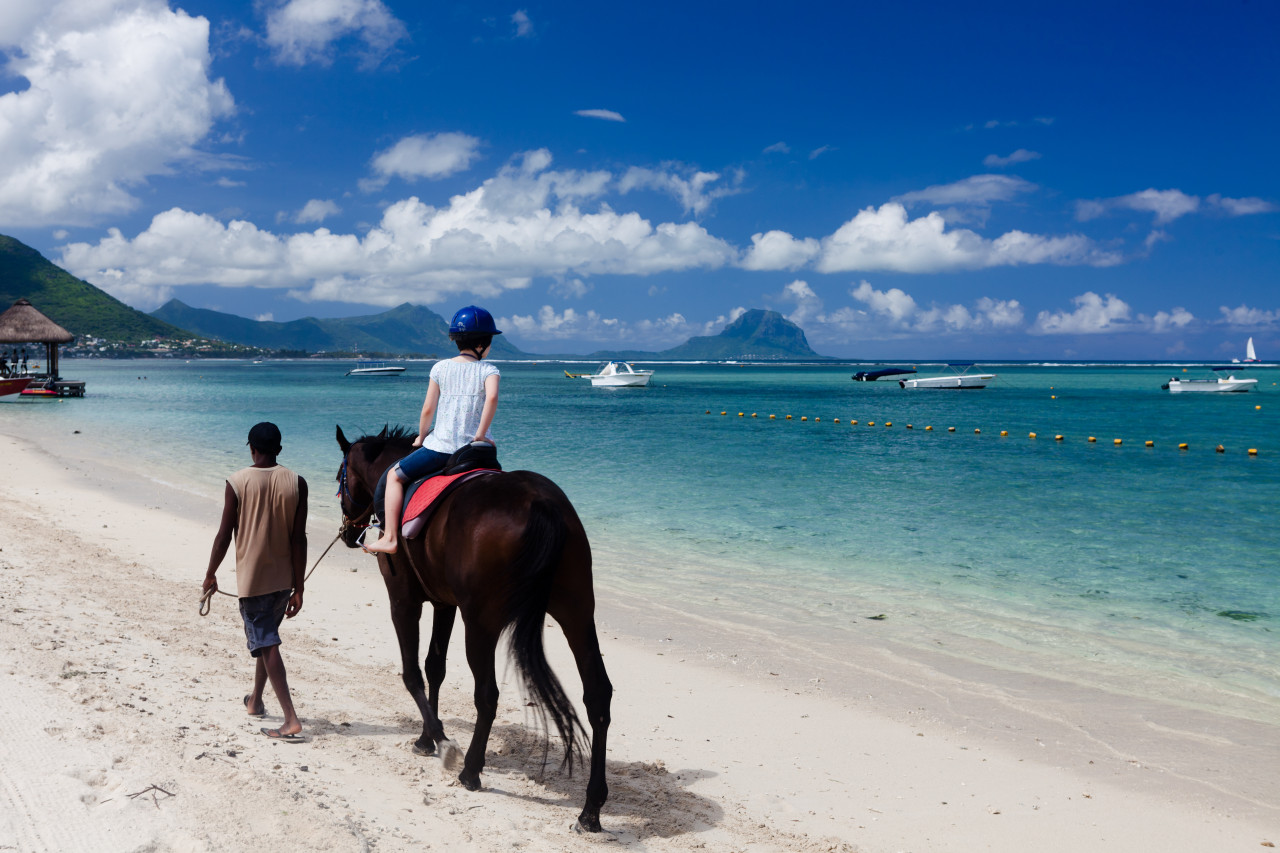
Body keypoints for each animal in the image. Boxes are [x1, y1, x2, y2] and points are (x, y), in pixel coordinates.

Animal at [335, 425, 614, 829]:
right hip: (577, 614)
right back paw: (591, 807)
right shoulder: (444, 603)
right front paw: (426, 738)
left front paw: (439, 741)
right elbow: (435, 668)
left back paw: (470, 770)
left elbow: (412, 673)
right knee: (598, 696)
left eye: (339, 478)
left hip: (481, 623)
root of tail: (541, 503)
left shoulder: (403, 601)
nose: (346, 533)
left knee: (487, 694)